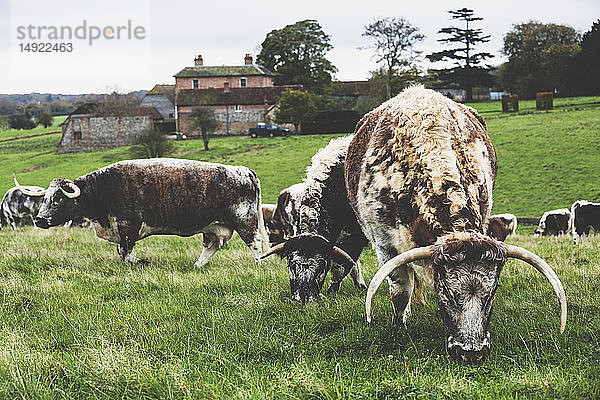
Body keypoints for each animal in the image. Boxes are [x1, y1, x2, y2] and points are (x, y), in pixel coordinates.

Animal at [15, 159, 268, 266]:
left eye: (58, 198)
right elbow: (121, 253)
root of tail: (244, 170)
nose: (39, 219)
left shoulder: (129, 227)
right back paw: (197, 266)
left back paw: (259, 265)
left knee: (255, 244)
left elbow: (126, 253)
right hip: (213, 227)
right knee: (211, 246)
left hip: (245, 221)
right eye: (45, 198)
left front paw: (142, 261)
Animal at [264, 136, 370, 302]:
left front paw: (333, 290)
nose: (302, 298)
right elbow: (351, 263)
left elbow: (341, 265)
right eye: (291, 265)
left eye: (321, 267)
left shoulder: (355, 237)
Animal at [346, 86, 568, 362]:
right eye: (447, 293)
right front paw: (399, 325)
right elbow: (400, 290)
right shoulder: (384, 244)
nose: (471, 353)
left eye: (491, 293)